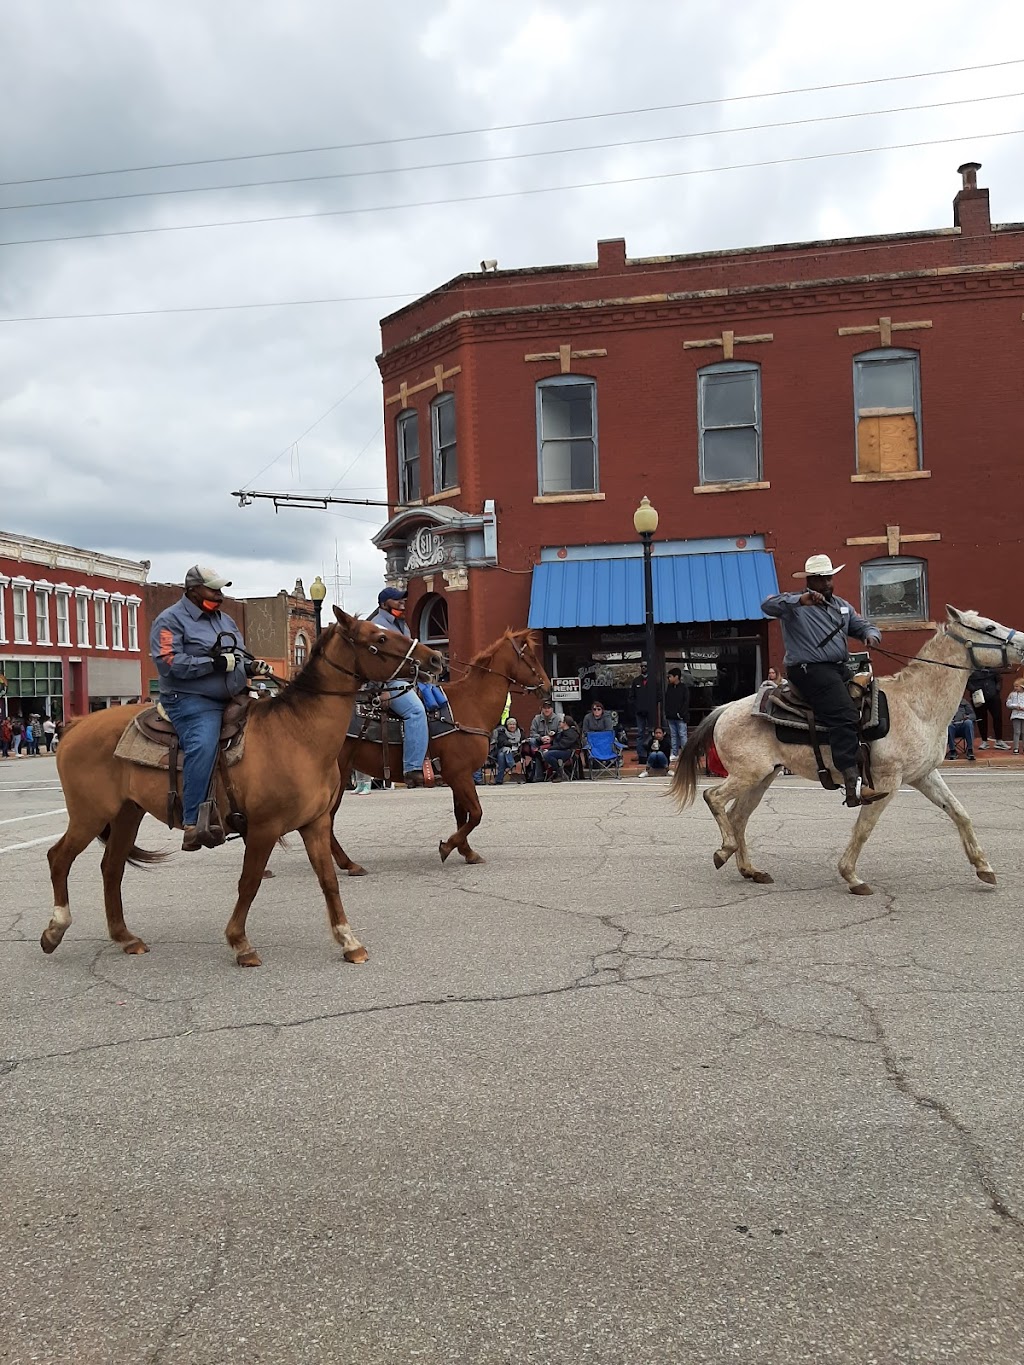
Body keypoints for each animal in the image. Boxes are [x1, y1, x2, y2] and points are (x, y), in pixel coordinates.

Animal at [42, 614, 442, 966]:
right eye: (380, 637)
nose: (434, 659)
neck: (298, 734)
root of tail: (75, 725)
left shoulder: (315, 824)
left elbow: (328, 881)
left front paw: (348, 940)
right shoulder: (264, 828)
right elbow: (249, 882)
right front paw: (240, 943)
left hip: (127, 813)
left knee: (111, 868)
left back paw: (125, 937)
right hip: (90, 814)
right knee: (59, 857)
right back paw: (56, 929)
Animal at [333, 627, 548, 873]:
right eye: (530, 656)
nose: (548, 686)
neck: (472, 704)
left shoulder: (459, 776)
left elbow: (462, 815)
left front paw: (467, 852)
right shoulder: (459, 775)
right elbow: (476, 814)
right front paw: (448, 846)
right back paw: (348, 863)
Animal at [674, 608, 1024, 895]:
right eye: (990, 626)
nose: (1022, 641)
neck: (916, 705)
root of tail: (727, 707)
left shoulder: (924, 775)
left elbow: (959, 813)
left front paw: (984, 868)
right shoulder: (886, 782)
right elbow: (864, 829)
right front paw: (851, 876)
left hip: (762, 777)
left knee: (738, 816)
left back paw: (751, 870)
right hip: (748, 773)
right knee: (714, 798)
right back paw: (725, 850)